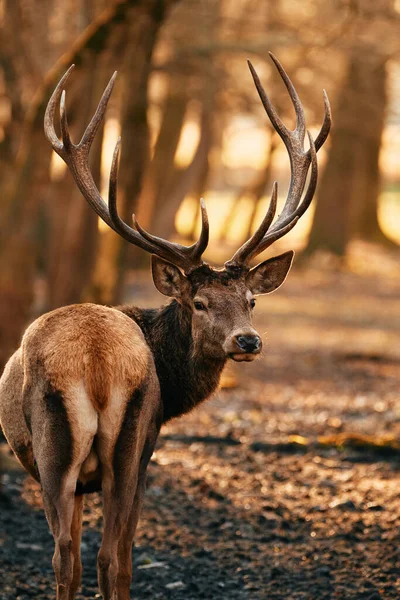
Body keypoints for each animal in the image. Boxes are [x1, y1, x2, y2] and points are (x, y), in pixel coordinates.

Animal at [0, 54, 330, 596]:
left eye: (251, 301)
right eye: (198, 302)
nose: (248, 340)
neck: (173, 389)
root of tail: (96, 363)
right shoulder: (147, 441)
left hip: (92, 453)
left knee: (82, 557)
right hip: (116, 449)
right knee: (98, 556)